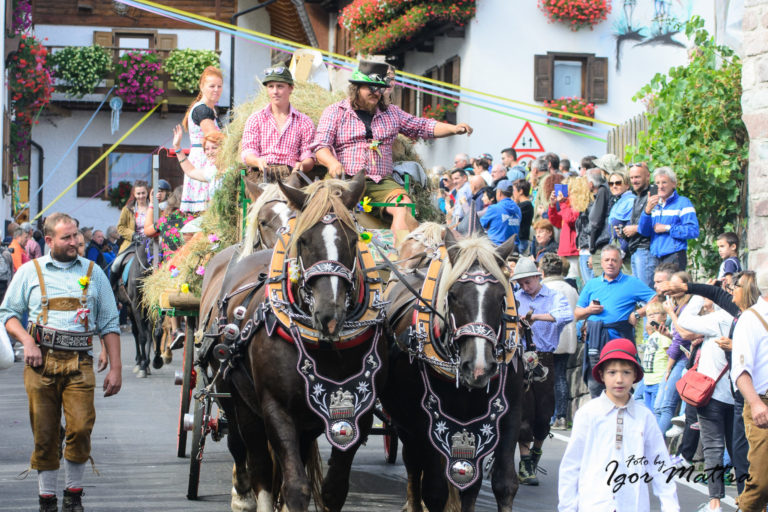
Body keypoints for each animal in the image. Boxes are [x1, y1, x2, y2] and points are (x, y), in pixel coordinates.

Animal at [198, 173, 390, 512]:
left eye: (354, 239)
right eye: (303, 240)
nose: (329, 313)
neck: (326, 346)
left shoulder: (359, 414)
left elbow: (333, 489)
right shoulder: (276, 408)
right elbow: (294, 485)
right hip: (235, 396)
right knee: (251, 455)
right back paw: (244, 495)